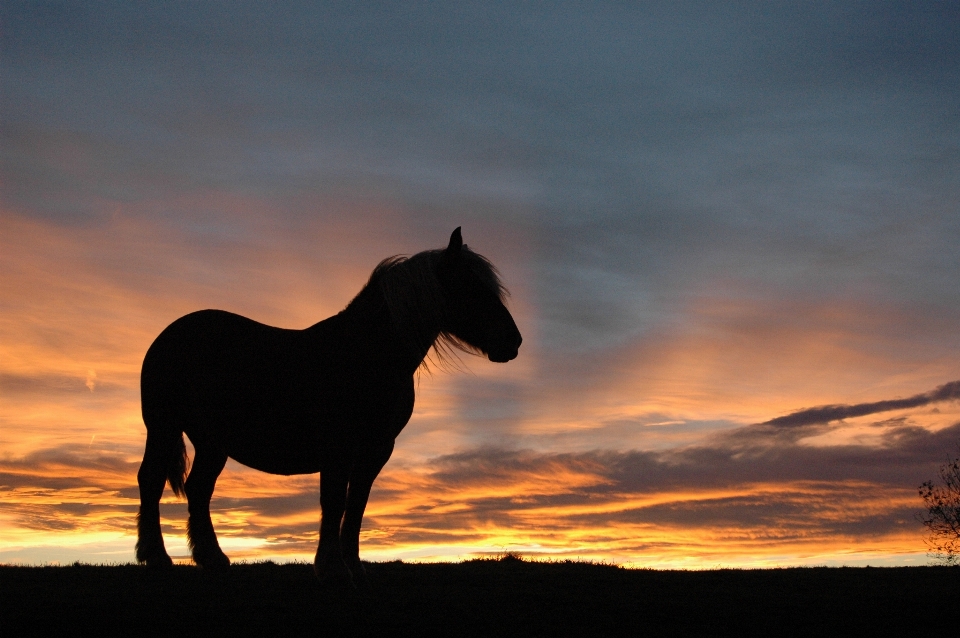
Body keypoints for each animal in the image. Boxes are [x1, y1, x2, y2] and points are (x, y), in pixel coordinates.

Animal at [134, 230, 520, 592]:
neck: (364, 353)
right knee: (151, 481)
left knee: (199, 489)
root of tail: (169, 334)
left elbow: (356, 505)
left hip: (212, 443)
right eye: (470, 286)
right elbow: (334, 501)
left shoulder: (376, 449)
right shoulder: (339, 445)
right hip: (164, 427)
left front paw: (355, 569)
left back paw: (212, 559)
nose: (513, 342)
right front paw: (333, 570)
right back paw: (157, 558)